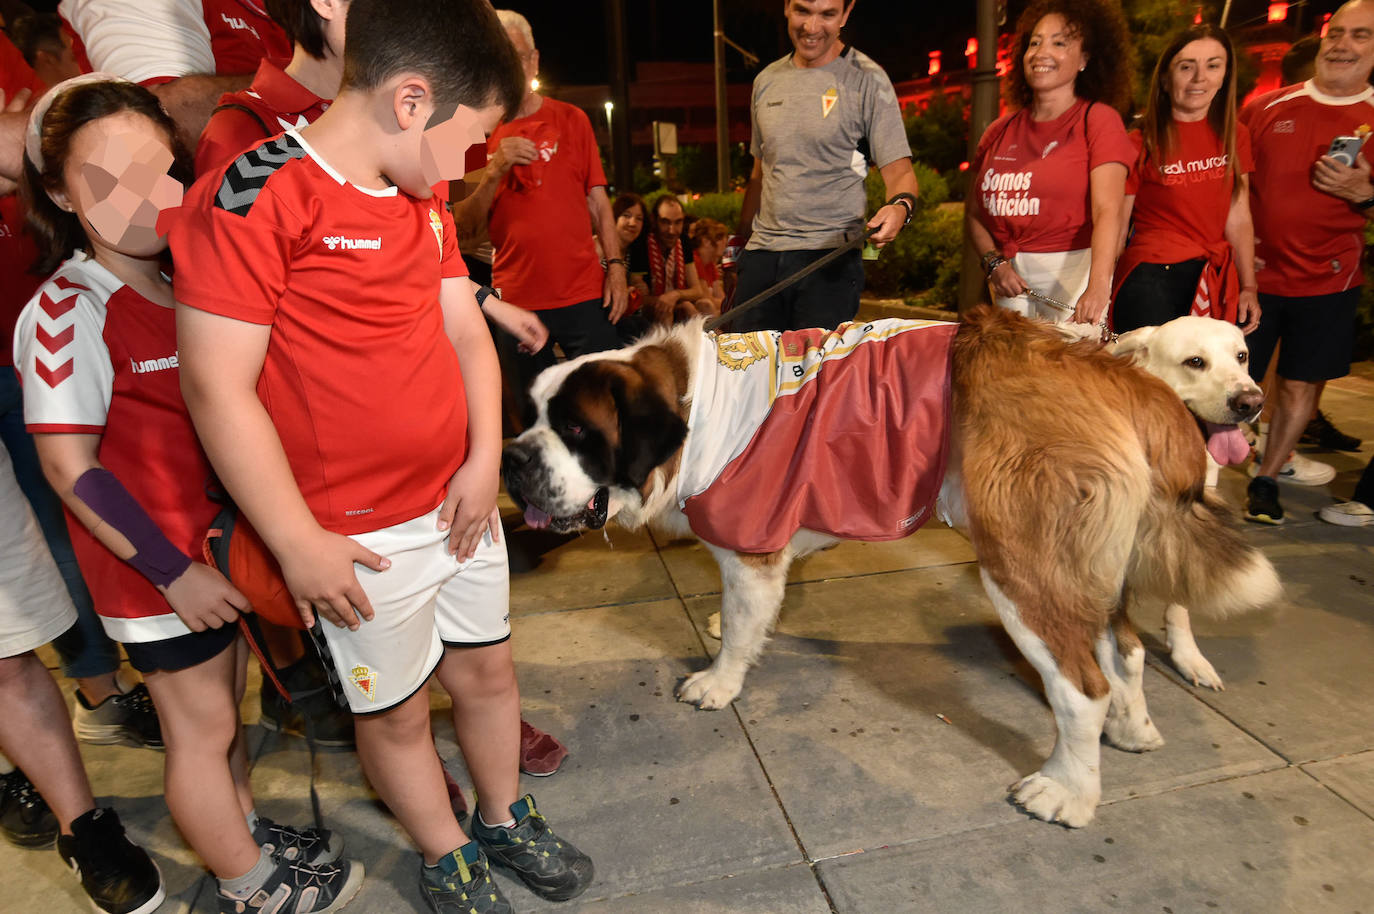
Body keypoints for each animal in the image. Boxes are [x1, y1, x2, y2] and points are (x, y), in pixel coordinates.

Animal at [511, 307, 1280, 824]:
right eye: (533, 418)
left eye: (577, 430)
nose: (513, 459)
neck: (693, 406)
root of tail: (1118, 373)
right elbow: (748, 613)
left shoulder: (754, 543)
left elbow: (741, 620)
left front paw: (720, 682)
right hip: (1086, 561)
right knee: (1123, 648)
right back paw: (1132, 727)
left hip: (1023, 564)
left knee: (1080, 685)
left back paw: (1066, 789)